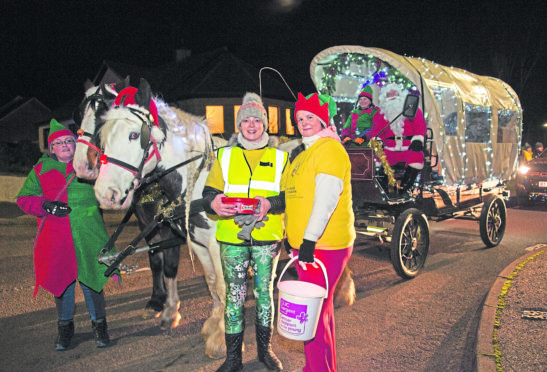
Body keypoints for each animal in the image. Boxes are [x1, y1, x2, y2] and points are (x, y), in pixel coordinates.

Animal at [73, 81, 227, 358]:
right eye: (104, 135)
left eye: (135, 135)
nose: (104, 192)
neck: (197, 179)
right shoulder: (195, 240)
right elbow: (210, 283)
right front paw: (212, 325)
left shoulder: (212, 242)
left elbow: (218, 283)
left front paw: (220, 336)